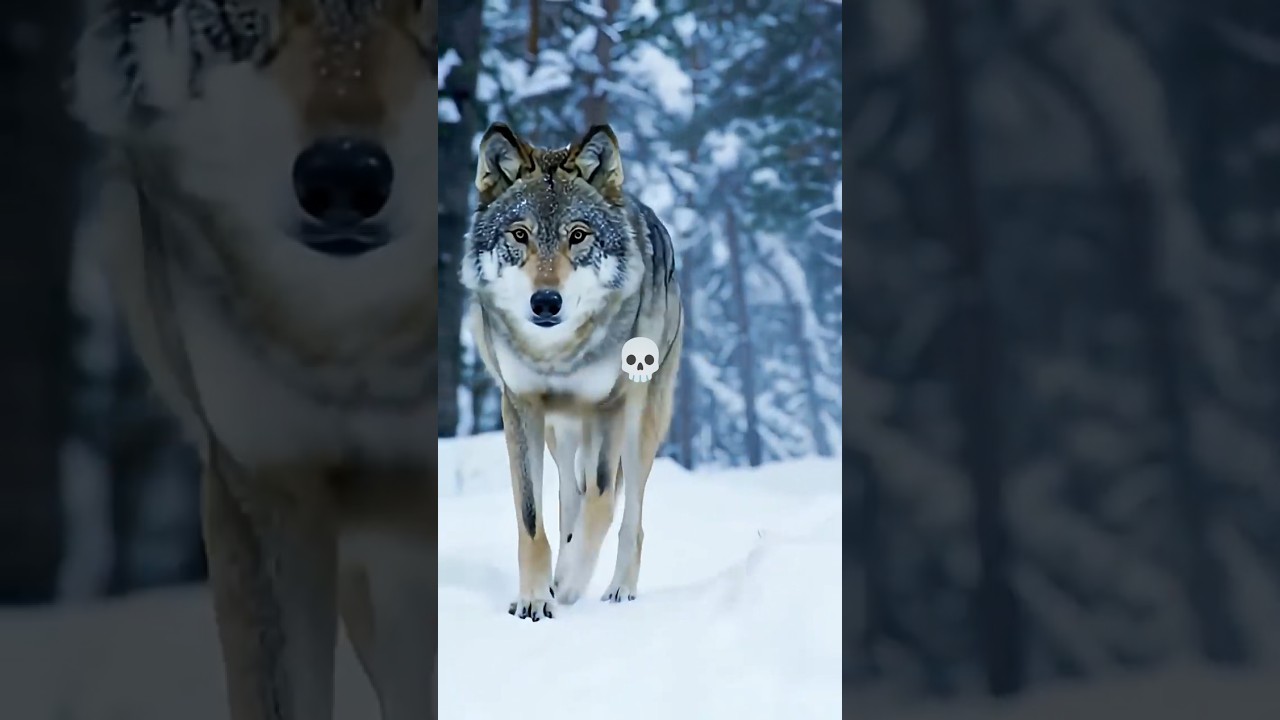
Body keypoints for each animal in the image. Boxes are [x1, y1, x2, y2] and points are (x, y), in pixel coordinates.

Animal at [461, 123, 684, 620]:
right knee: (568, 500)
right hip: (559, 433)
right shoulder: (520, 407)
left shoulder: (610, 406)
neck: (559, 355)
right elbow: (533, 519)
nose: (546, 302)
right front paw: (534, 596)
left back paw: (619, 590)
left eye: (578, 235)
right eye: (520, 234)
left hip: (641, 425)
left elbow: (601, 504)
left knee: (629, 516)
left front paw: (565, 585)